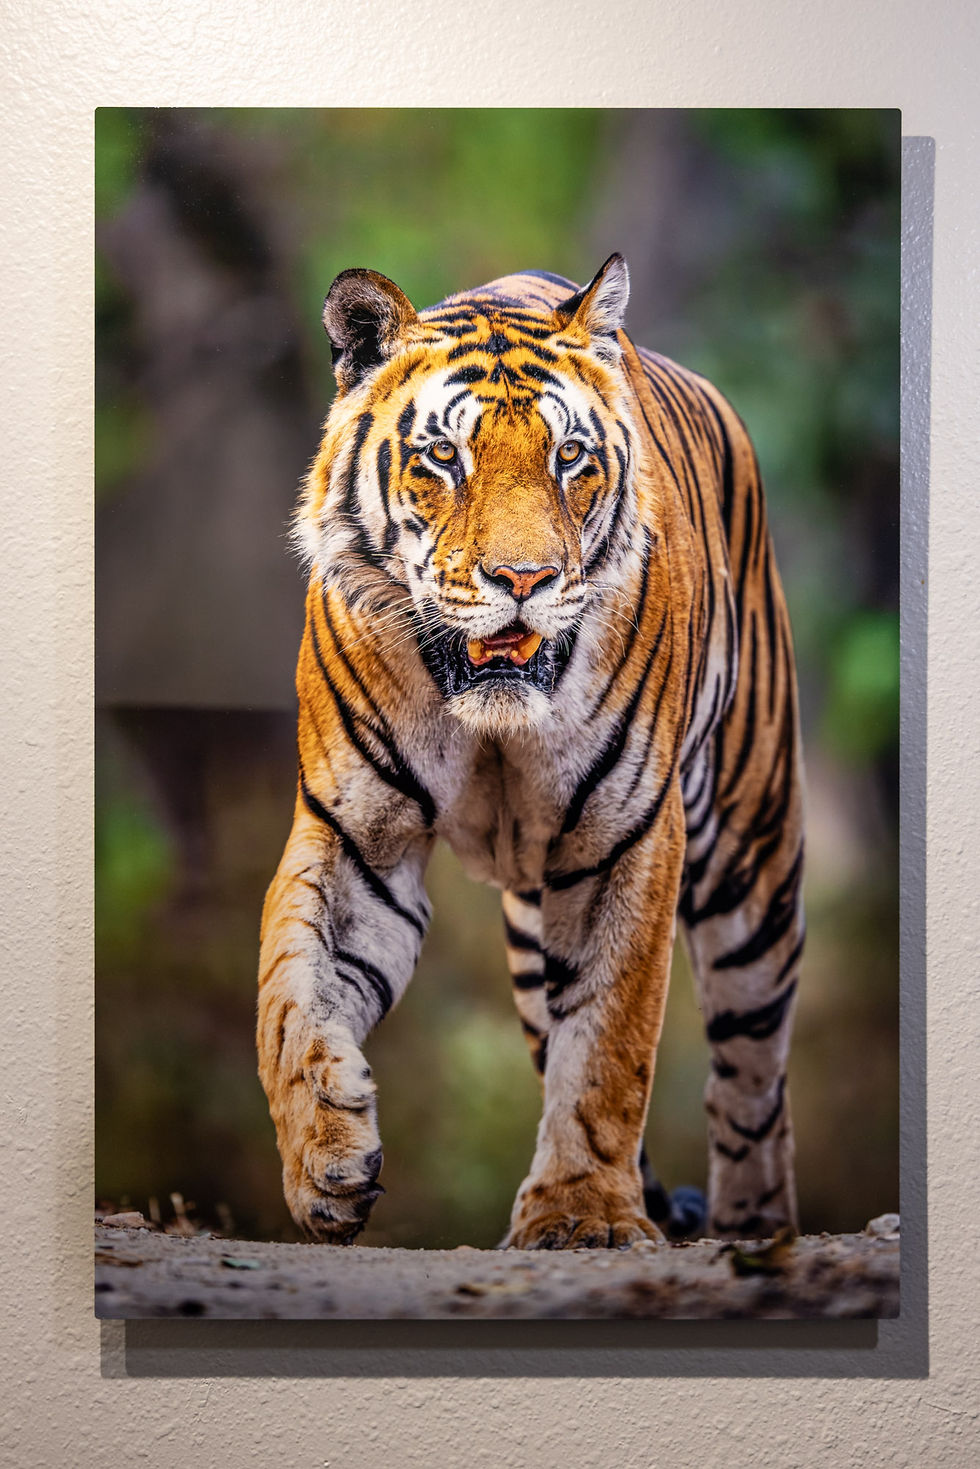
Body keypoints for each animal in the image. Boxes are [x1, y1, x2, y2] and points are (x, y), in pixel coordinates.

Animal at [256, 253, 805, 1250]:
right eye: (445, 456)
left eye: (570, 457)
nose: (524, 580)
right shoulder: (355, 834)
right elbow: (291, 992)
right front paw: (325, 1156)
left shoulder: (627, 838)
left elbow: (610, 1044)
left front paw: (582, 1215)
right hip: (528, 935)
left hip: (752, 864)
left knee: (751, 1080)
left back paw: (753, 1229)